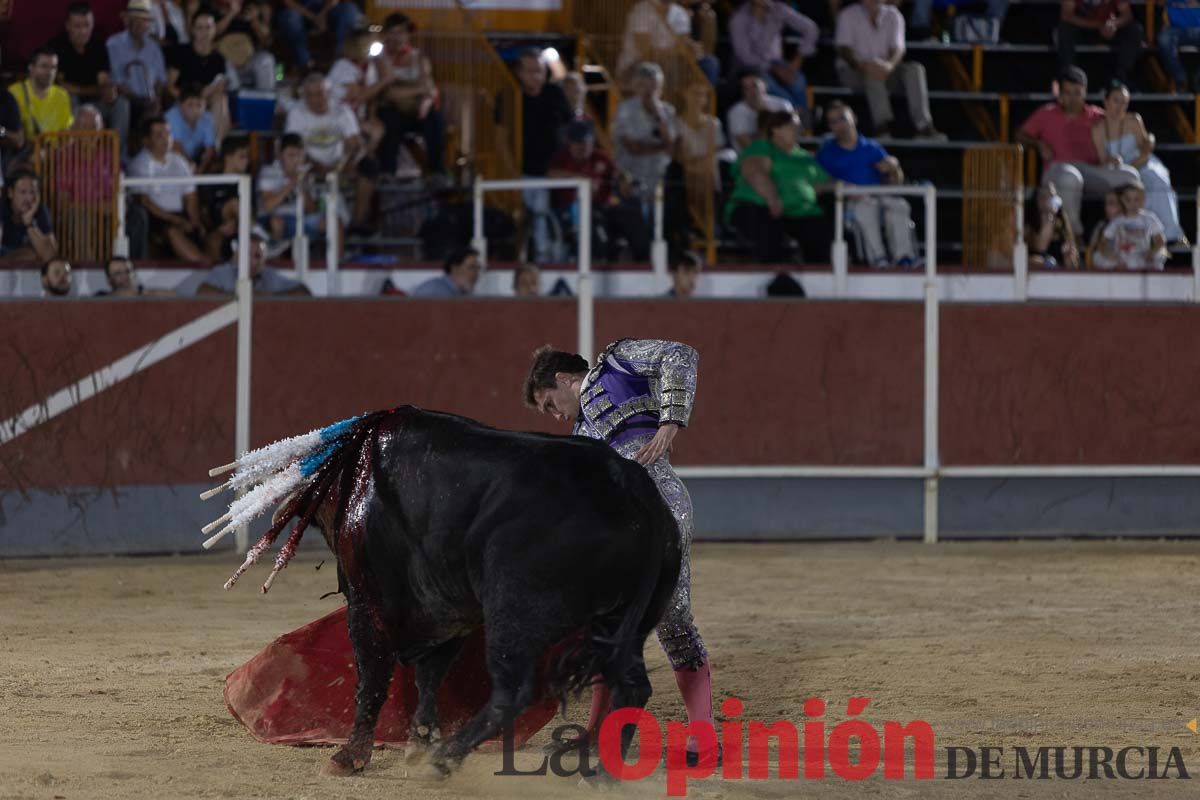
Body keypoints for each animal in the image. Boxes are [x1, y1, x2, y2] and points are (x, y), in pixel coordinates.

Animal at [277, 407, 686, 777]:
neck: (356, 478)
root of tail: (629, 483)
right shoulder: (447, 613)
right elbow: (430, 676)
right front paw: (419, 741)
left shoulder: (368, 604)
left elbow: (372, 677)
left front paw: (350, 758)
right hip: (624, 621)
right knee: (631, 686)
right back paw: (603, 771)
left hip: (514, 614)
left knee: (513, 692)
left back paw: (445, 759)